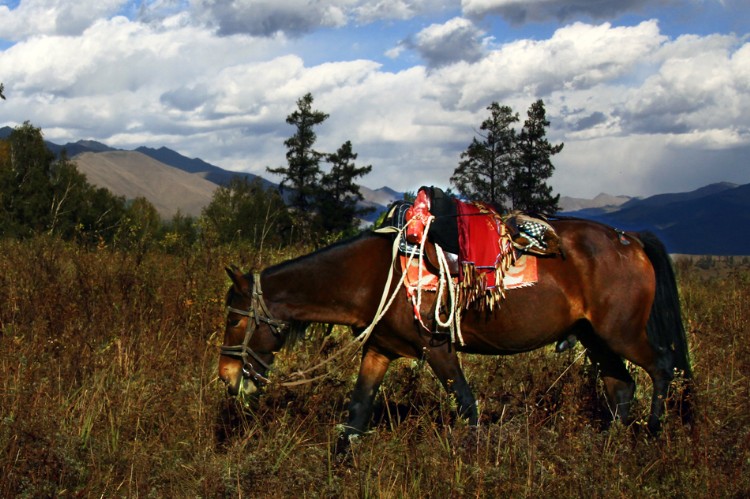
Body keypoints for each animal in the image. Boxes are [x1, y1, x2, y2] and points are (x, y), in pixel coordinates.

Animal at [217, 219, 692, 450]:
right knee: (621, 387)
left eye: (236, 320)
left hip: (622, 334)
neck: (375, 277)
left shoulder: (437, 349)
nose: (226, 375)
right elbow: (356, 415)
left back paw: (653, 433)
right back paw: (609, 445)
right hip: (596, 339)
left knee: (662, 368)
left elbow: (467, 406)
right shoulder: (380, 350)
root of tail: (629, 240)